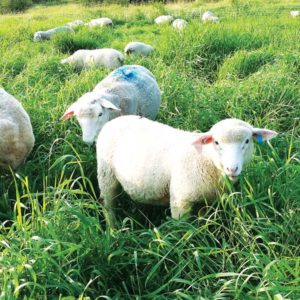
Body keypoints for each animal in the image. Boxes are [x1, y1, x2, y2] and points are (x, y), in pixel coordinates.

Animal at [97, 116, 278, 226]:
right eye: (216, 142)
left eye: (247, 141)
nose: (232, 168)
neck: (206, 159)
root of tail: (115, 120)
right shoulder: (180, 200)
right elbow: (181, 228)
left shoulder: (207, 200)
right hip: (106, 175)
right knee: (108, 204)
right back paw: (113, 229)